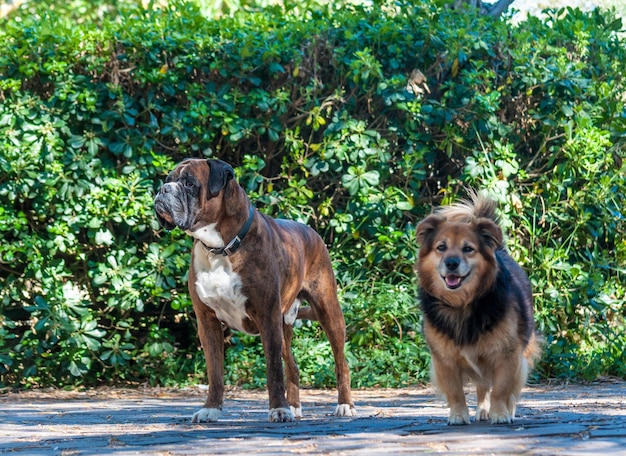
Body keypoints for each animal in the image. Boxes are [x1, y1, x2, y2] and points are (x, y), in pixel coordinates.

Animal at [153, 159, 354, 422]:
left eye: (189, 183)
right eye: (168, 180)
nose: (162, 189)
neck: (221, 248)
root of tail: (311, 231)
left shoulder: (267, 316)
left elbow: (273, 370)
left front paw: (279, 409)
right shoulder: (207, 322)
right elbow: (214, 371)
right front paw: (211, 408)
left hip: (328, 311)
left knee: (341, 362)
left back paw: (344, 405)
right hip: (284, 325)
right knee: (292, 365)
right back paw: (295, 407)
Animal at [412, 191, 540, 424]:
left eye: (468, 249)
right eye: (441, 247)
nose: (451, 263)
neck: (462, 304)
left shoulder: (507, 354)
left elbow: (501, 389)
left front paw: (500, 413)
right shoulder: (444, 359)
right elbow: (455, 391)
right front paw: (458, 415)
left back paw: (507, 410)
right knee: (482, 387)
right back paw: (482, 410)